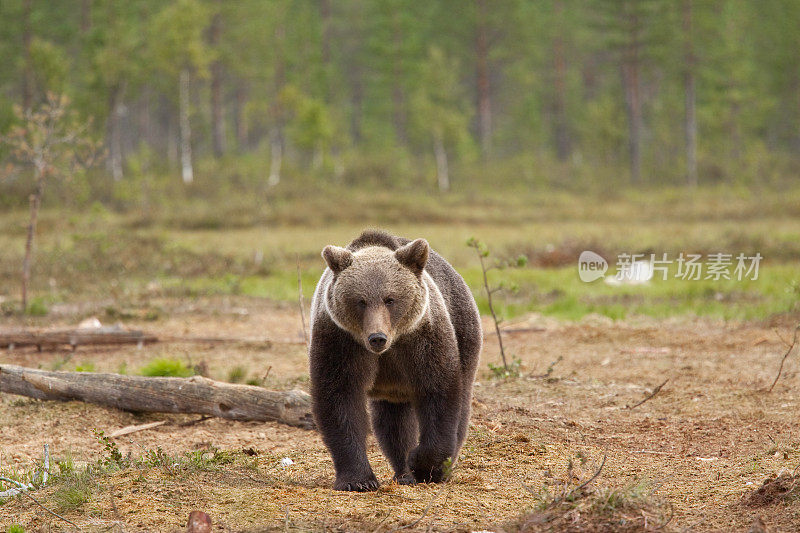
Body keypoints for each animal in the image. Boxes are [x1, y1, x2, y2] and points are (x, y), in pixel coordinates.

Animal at [308, 229, 482, 490]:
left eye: (390, 299)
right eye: (360, 301)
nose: (377, 338)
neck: (390, 346)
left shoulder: (421, 339)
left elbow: (438, 393)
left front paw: (423, 464)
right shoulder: (340, 341)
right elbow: (339, 398)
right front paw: (358, 480)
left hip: (464, 331)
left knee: (460, 407)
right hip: (391, 388)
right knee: (393, 424)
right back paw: (403, 471)